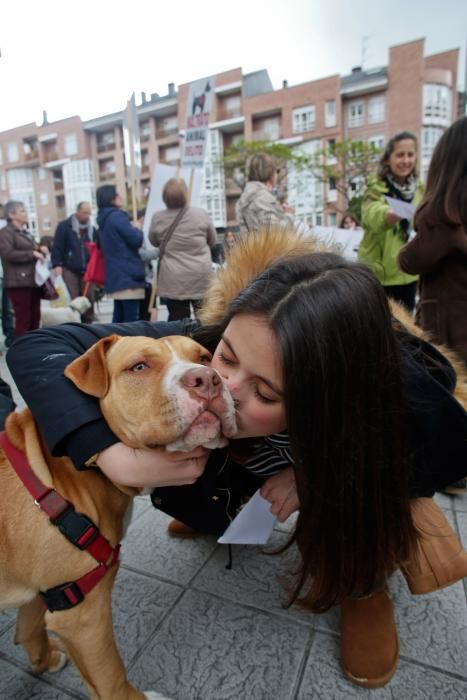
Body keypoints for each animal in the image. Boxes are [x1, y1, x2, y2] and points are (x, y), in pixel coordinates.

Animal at [0, 332, 236, 700]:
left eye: (205, 357)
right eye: (138, 366)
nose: (207, 379)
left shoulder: (48, 589)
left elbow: (29, 626)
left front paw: (45, 659)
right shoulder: (83, 614)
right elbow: (111, 678)